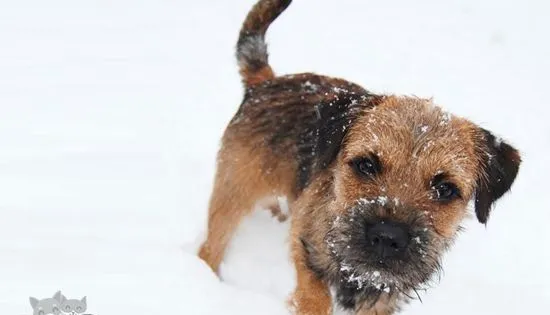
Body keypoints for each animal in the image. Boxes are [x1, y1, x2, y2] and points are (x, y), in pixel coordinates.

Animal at [198, 1, 520, 314]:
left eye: (445, 188)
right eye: (366, 165)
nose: (388, 236)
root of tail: (267, 83)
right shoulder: (306, 243)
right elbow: (314, 295)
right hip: (234, 192)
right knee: (211, 247)